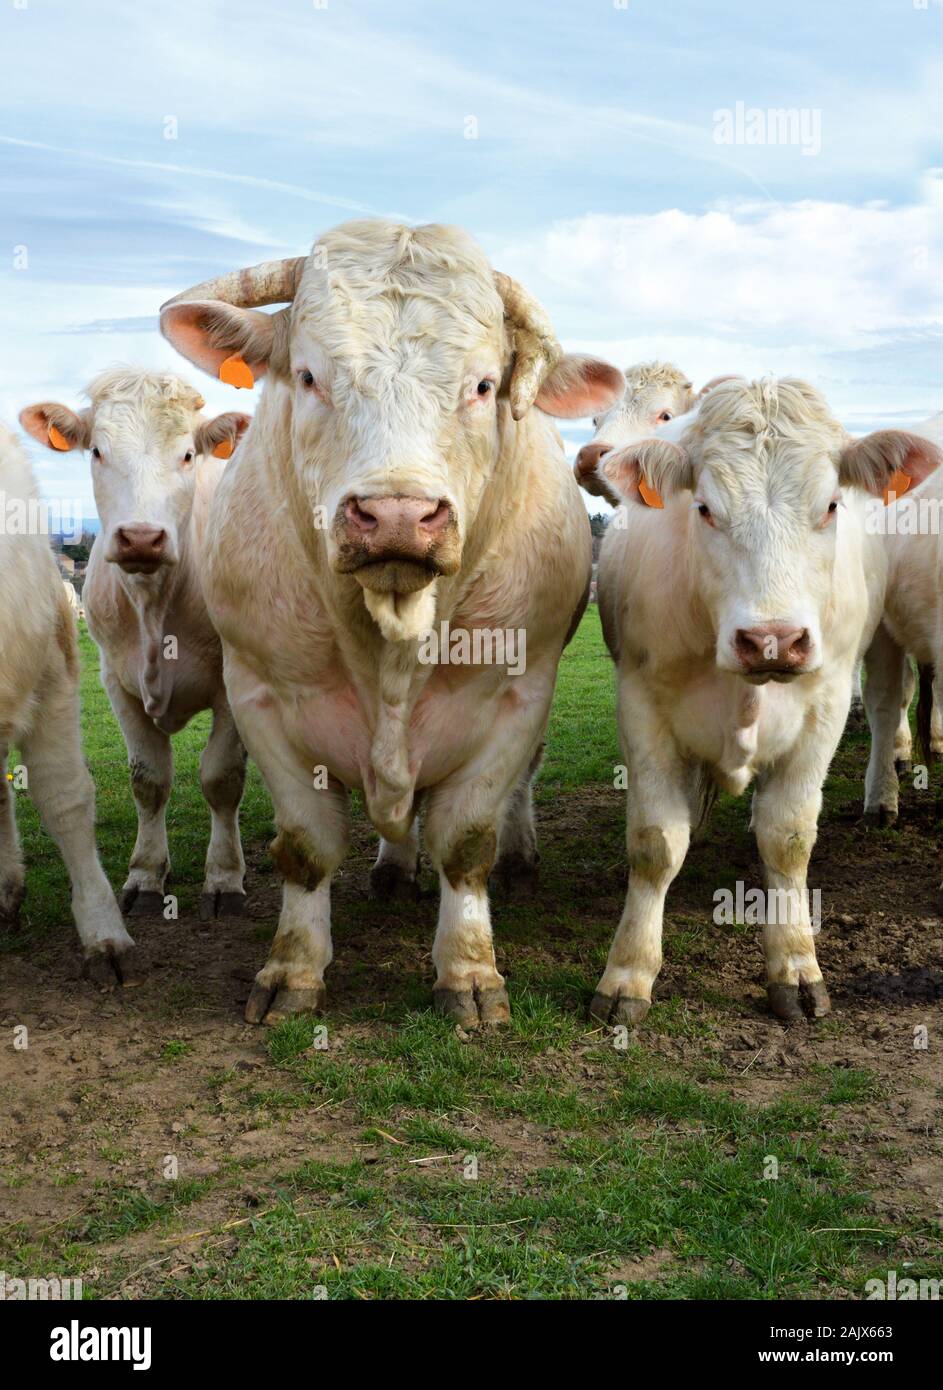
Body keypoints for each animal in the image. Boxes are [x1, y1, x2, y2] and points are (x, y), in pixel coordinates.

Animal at [20, 371, 252, 920]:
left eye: (188, 454)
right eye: (97, 451)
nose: (142, 538)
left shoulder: (234, 680)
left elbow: (222, 778)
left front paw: (225, 878)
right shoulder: (115, 680)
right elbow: (148, 780)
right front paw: (145, 875)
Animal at [158, 218, 624, 1027]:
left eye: (483, 385)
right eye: (309, 376)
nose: (398, 515)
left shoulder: (516, 693)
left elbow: (466, 840)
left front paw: (468, 972)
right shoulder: (259, 696)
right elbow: (306, 846)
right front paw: (293, 970)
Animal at [586, 378, 941, 1024]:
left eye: (830, 506)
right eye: (704, 507)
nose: (772, 639)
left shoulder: (825, 706)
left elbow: (789, 836)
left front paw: (796, 967)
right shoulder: (641, 705)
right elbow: (656, 843)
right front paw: (627, 974)